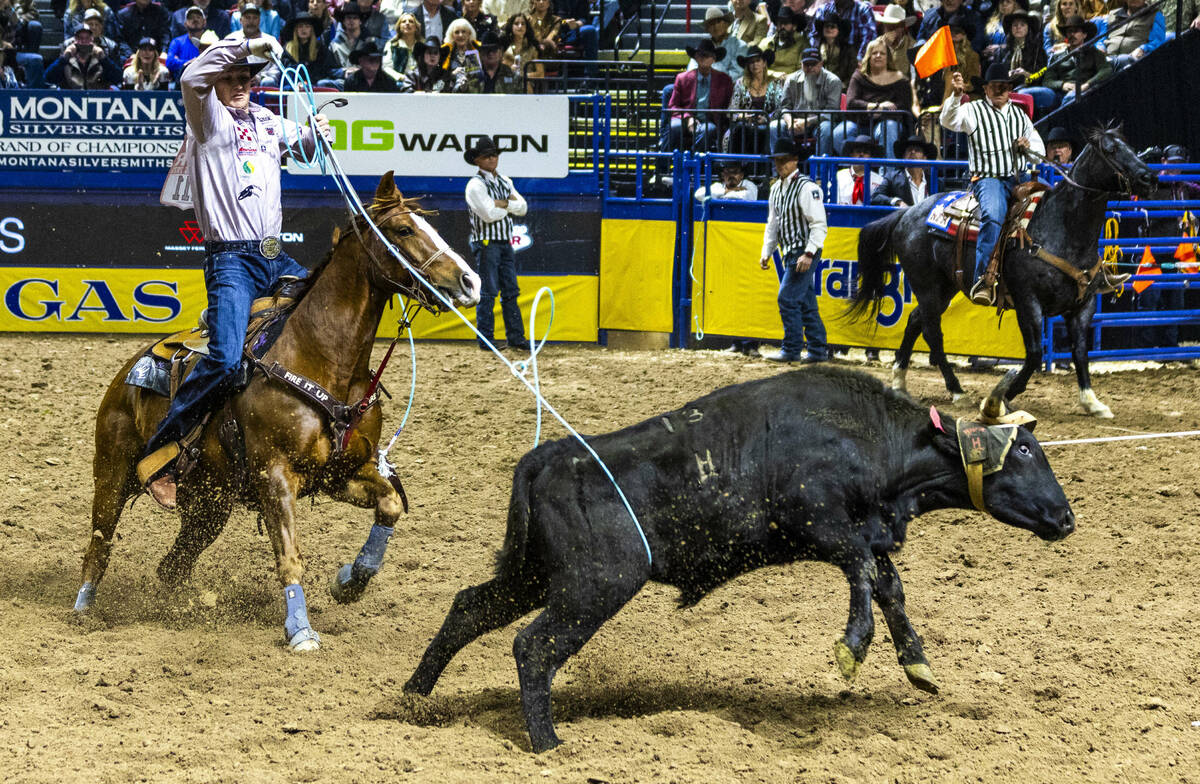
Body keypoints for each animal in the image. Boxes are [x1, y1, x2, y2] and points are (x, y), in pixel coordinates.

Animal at [404, 366, 1074, 752]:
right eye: (1022, 451)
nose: (1067, 518)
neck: (873, 440)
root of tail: (549, 457)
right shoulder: (822, 526)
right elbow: (863, 574)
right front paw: (851, 649)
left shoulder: (866, 534)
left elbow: (889, 585)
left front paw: (918, 664)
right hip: (594, 585)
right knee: (533, 647)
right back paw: (546, 744)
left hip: (536, 576)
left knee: (468, 609)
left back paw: (413, 700)